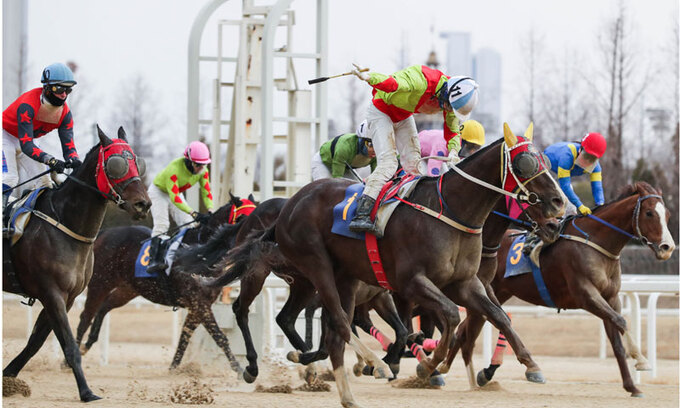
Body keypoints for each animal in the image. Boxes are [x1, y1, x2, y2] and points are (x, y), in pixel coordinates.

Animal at [2, 126, 150, 402]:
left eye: (138, 162)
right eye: (115, 164)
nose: (143, 204)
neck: (65, 224)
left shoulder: (68, 297)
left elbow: (35, 342)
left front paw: (8, 376)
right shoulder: (52, 293)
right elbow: (70, 346)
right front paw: (86, 391)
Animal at [75, 195, 278, 375]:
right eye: (246, 217)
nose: (262, 239)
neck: (202, 253)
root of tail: (103, 234)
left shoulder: (197, 307)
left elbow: (184, 337)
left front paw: (173, 368)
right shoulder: (199, 304)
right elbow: (220, 337)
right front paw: (239, 369)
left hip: (128, 289)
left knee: (104, 307)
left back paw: (88, 343)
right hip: (100, 282)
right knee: (86, 316)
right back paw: (73, 356)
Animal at [204, 123, 566, 407]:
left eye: (546, 160)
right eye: (524, 163)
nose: (559, 207)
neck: (450, 212)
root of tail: (288, 206)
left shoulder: (464, 283)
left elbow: (497, 316)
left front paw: (531, 365)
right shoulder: (410, 283)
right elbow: (445, 317)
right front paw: (427, 366)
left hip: (327, 279)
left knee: (305, 321)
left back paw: (338, 381)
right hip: (306, 266)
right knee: (313, 317)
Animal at [452, 181, 675, 397]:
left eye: (667, 214)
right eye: (649, 213)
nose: (667, 248)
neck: (596, 242)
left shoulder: (611, 298)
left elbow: (617, 342)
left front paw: (632, 387)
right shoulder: (586, 295)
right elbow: (621, 321)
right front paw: (641, 360)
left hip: (495, 294)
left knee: (465, 332)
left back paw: (471, 375)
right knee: (467, 333)